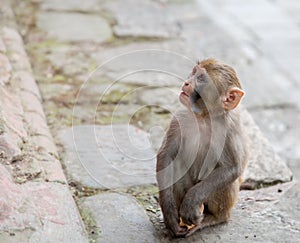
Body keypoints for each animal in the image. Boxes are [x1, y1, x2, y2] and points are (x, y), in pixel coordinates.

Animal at [156, 58, 247, 237]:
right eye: (193, 73)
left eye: (201, 79)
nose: (186, 83)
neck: (204, 117)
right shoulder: (180, 117)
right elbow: (166, 156)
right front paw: (169, 214)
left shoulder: (230, 130)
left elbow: (232, 167)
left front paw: (191, 202)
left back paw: (215, 218)